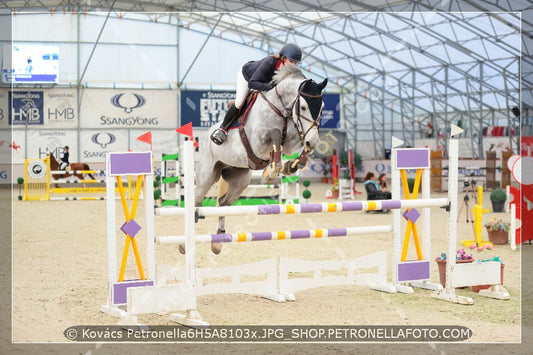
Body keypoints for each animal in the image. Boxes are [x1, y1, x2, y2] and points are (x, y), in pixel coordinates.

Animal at [187, 65, 328, 254]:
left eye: (322, 108)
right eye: (304, 107)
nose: (313, 141)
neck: (280, 108)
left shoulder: (292, 139)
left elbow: (295, 146)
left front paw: (292, 165)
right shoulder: (258, 142)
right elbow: (276, 135)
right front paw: (271, 172)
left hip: (239, 179)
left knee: (224, 202)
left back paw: (217, 243)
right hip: (208, 173)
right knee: (196, 200)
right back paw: (183, 245)